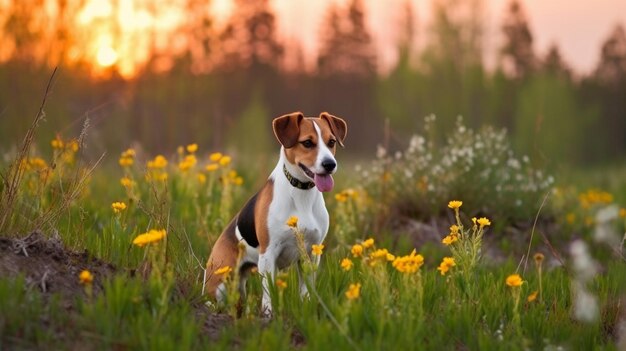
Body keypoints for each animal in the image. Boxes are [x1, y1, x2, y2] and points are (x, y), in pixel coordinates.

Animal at [205, 112, 348, 316]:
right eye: (307, 143)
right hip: (222, 282)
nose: (330, 164)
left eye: (331, 142)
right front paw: (268, 315)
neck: (301, 193)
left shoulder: (311, 253)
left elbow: (306, 290)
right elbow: (268, 293)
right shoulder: (268, 253)